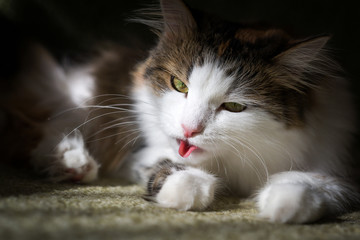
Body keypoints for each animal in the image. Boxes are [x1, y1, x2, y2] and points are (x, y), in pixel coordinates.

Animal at [2, 0, 358, 224]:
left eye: (234, 107)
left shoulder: (337, 161)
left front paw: (285, 204)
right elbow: (171, 167)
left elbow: (311, 183)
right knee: (48, 131)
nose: (189, 129)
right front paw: (186, 189)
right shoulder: (142, 153)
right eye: (179, 85)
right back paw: (73, 165)